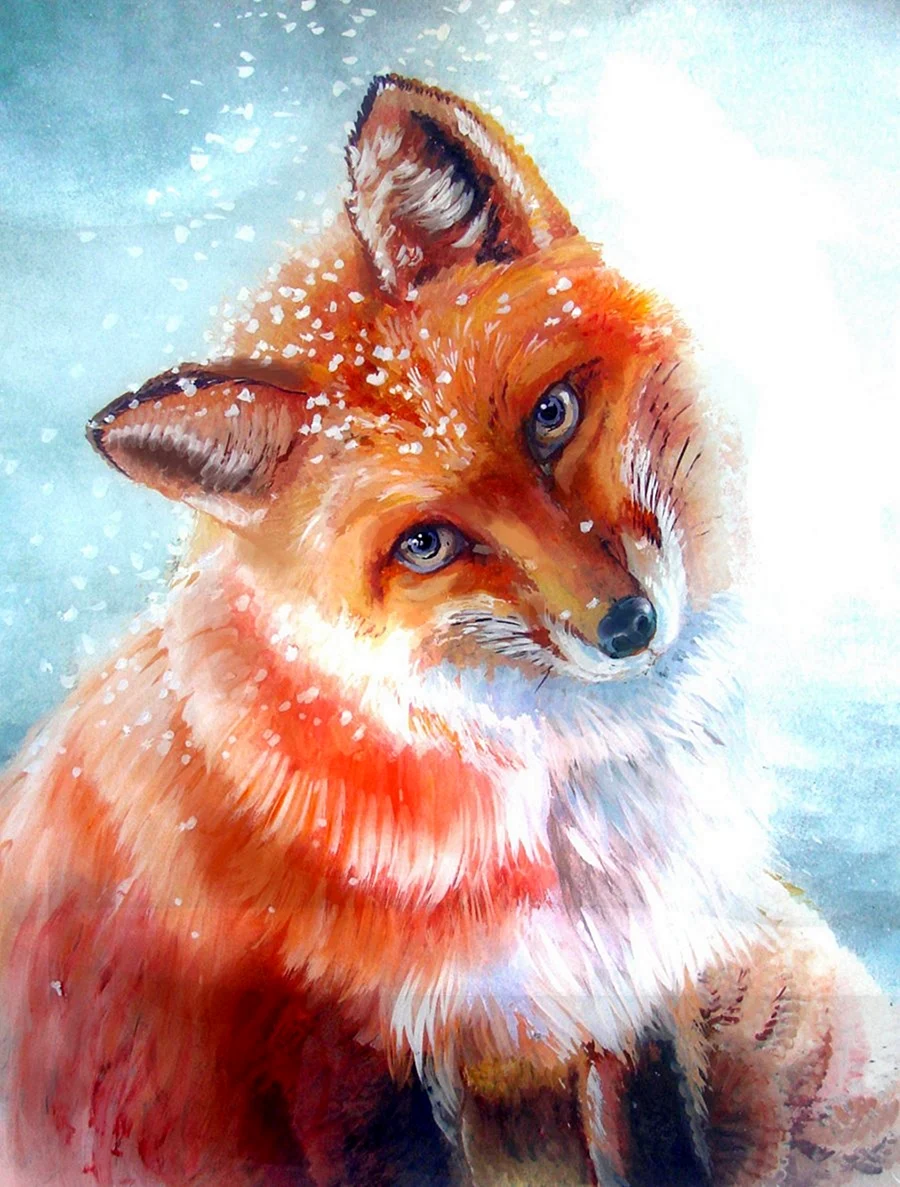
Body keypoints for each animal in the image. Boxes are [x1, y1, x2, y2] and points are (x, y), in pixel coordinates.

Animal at [0, 73, 896, 1187]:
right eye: (426, 544)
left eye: (552, 415)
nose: (629, 625)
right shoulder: (352, 1049)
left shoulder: (631, 988)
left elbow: (661, 1142)